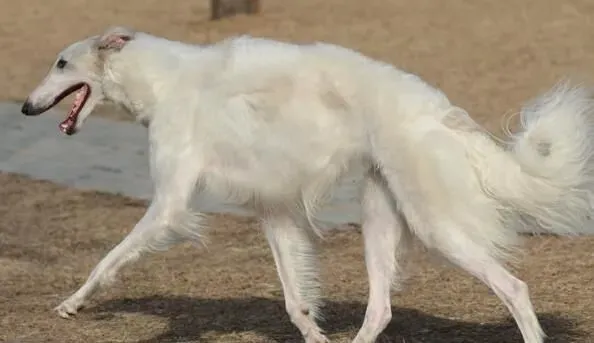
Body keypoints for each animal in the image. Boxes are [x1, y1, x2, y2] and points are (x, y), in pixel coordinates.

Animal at [20, 26, 592, 343]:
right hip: (380, 219)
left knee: (514, 288)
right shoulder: (274, 210)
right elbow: (296, 301)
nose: (25, 107)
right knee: (380, 309)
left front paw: (71, 303)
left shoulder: (170, 203)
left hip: (436, 226)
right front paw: (315, 332)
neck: (165, 79)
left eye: (61, 62)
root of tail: (440, 109)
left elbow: (108, 259)